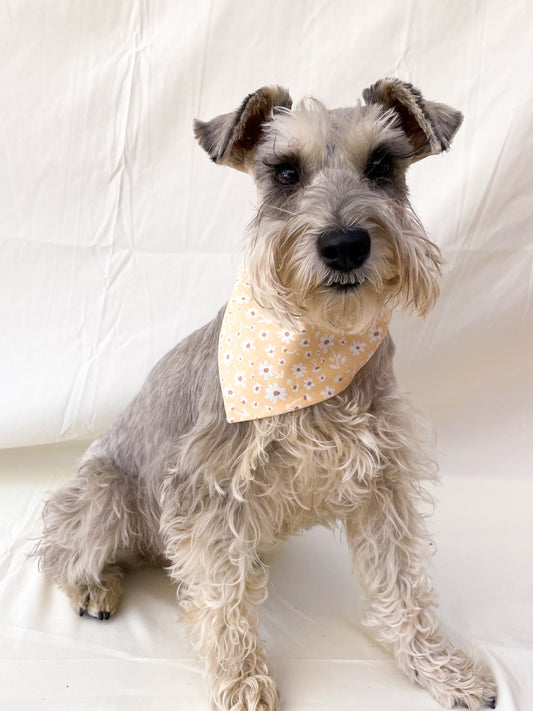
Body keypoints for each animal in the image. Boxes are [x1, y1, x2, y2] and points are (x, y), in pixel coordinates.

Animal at [35, 79, 496, 711]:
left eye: (382, 164)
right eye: (284, 172)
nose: (345, 244)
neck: (318, 346)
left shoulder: (384, 483)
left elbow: (403, 585)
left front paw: (441, 670)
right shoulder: (208, 492)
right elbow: (223, 600)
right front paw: (242, 681)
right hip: (104, 495)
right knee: (60, 548)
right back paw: (94, 586)